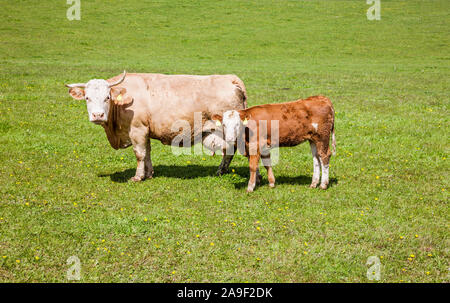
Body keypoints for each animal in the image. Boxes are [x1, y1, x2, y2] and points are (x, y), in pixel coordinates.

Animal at [65, 71, 248, 182]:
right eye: (87, 98)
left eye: (107, 97)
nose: (98, 115)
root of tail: (230, 78)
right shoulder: (144, 131)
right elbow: (147, 153)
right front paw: (149, 174)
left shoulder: (137, 130)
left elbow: (139, 154)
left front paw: (138, 177)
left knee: (230, 151)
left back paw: (221, 171)